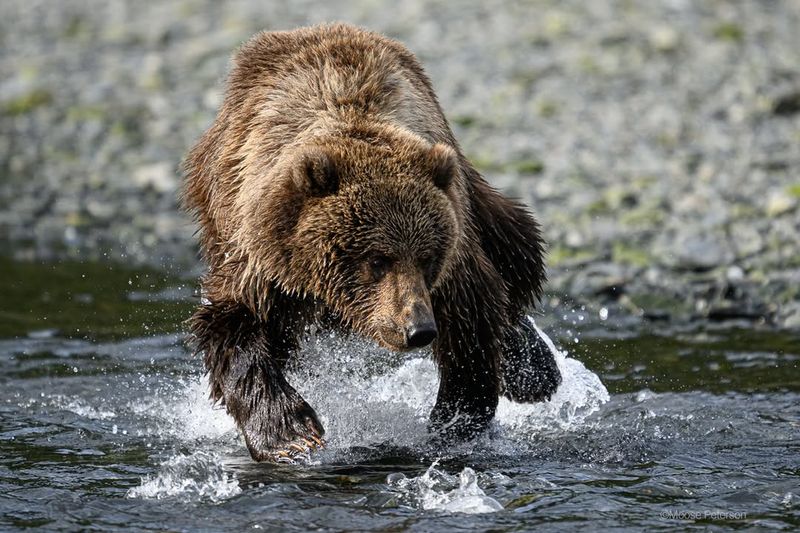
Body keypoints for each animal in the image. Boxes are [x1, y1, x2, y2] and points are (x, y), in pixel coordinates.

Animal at [184, 22, 560, 460]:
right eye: (377, 260)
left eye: (427, 258)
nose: (418, 329)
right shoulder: (259, 256)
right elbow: (233, 326)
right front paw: (290, 434)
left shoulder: (454, 256)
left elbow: (473, 317)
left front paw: (452, 423)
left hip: (468, 189)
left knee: (516, 249)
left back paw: (533, 370)